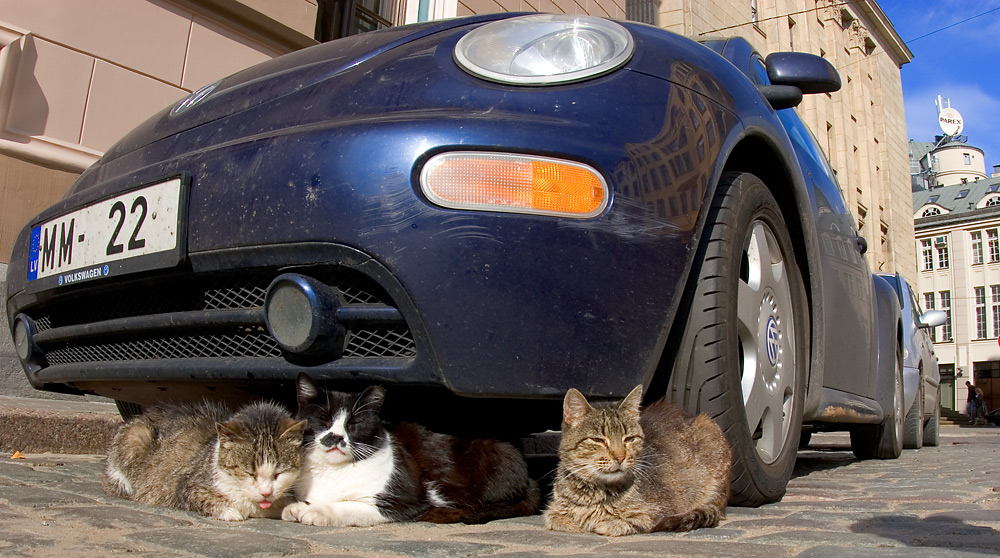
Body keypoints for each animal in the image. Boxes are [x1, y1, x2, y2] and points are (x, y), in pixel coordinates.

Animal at [102, 400, 306, 524]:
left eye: (278, 474)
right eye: (249, 473)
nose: (265, 493)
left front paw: (294, 509)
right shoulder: (186, 487)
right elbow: (209, 501)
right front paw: (231, 512)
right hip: (136, 436)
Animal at [280, 374, 540, 528]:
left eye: (353, 424)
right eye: (324, 420)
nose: (336, 437)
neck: (331, 472)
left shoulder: (402, 502)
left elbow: (348, 507)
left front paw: (316, 512)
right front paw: (297, 506)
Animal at [544, 384, 732, 540]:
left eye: (629, 439)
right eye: (598, 440)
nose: (620, 457)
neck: (594, 493)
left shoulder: (658, 512)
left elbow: (629, 521)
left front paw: (604, 523)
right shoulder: (553, 511)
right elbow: (556, 519)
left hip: (710, 430)